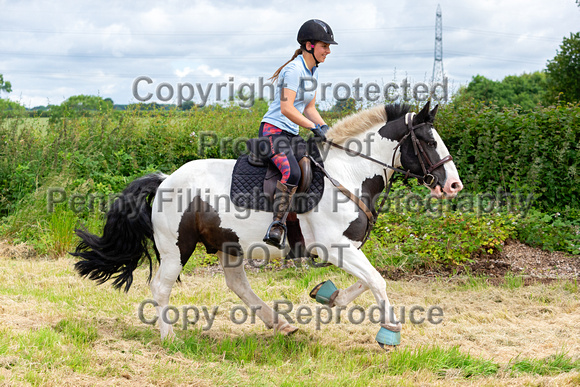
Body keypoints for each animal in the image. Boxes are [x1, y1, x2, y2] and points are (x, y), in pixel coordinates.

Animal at [71, 101, 462, 350]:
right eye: (429, 141)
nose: (454, 185)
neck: (347, 174)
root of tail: (166, 179)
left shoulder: (348, 248)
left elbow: (367, 281)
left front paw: (329, 295)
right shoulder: (333, 247)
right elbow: (377, 281)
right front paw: (389, 332)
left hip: (228, 243)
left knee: (237, 284)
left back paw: (281, 322)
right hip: (176, 248)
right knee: (161, 287)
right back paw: (169, 338)